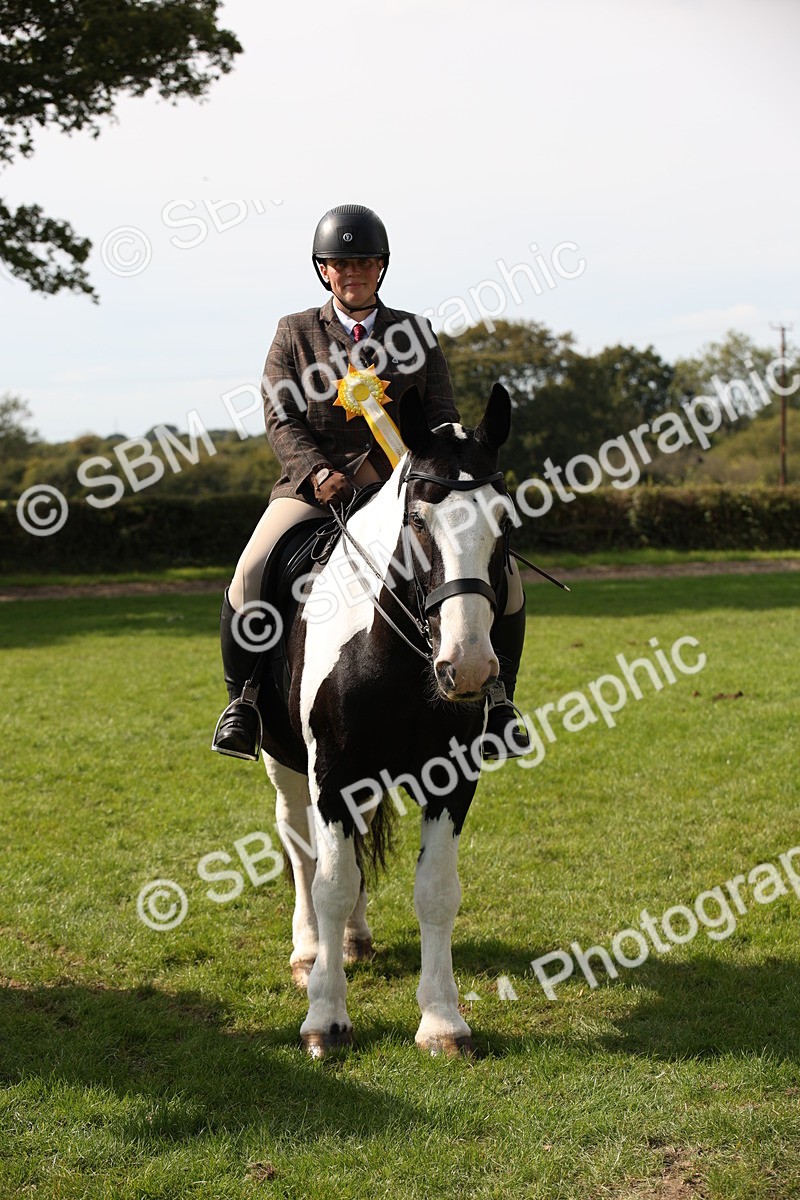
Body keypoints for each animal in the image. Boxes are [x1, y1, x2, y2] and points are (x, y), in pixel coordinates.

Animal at [260, 382, 515, 1057]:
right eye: (419, 521)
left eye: (505, 520)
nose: (467, 667)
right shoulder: (331, 773)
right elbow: (330, 881)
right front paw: (325, 1018)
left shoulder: (452, 777)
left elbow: (436, 892)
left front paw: (443, 1022)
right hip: (285, 762)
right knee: (301, 847)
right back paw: (309, 952)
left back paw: (351, 940)